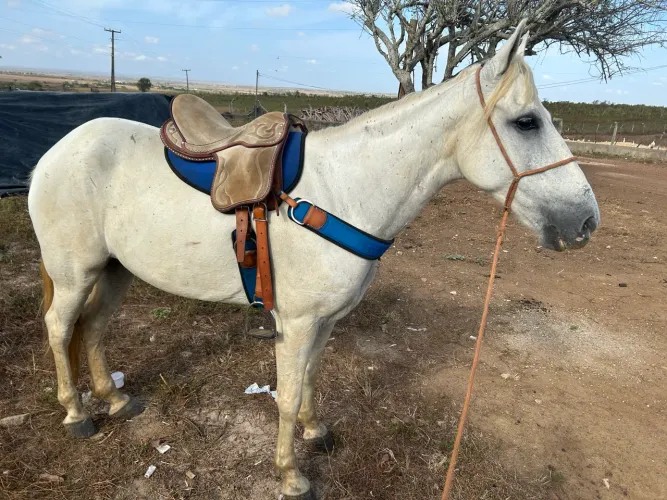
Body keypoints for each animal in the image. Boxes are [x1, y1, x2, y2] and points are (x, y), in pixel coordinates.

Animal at [28, 21, 599, 499]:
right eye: (526, 122)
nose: (586, 222)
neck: (344, 191)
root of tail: (57, 150)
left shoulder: (324, 321)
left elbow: (310, 379)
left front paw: (313, 430)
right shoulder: (297, 322)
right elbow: (284, 393)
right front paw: (290, 476)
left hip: (116, 271)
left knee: (94, 328)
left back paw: (116, 400)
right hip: (75, 273)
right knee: (60, 327)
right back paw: (77, 414)